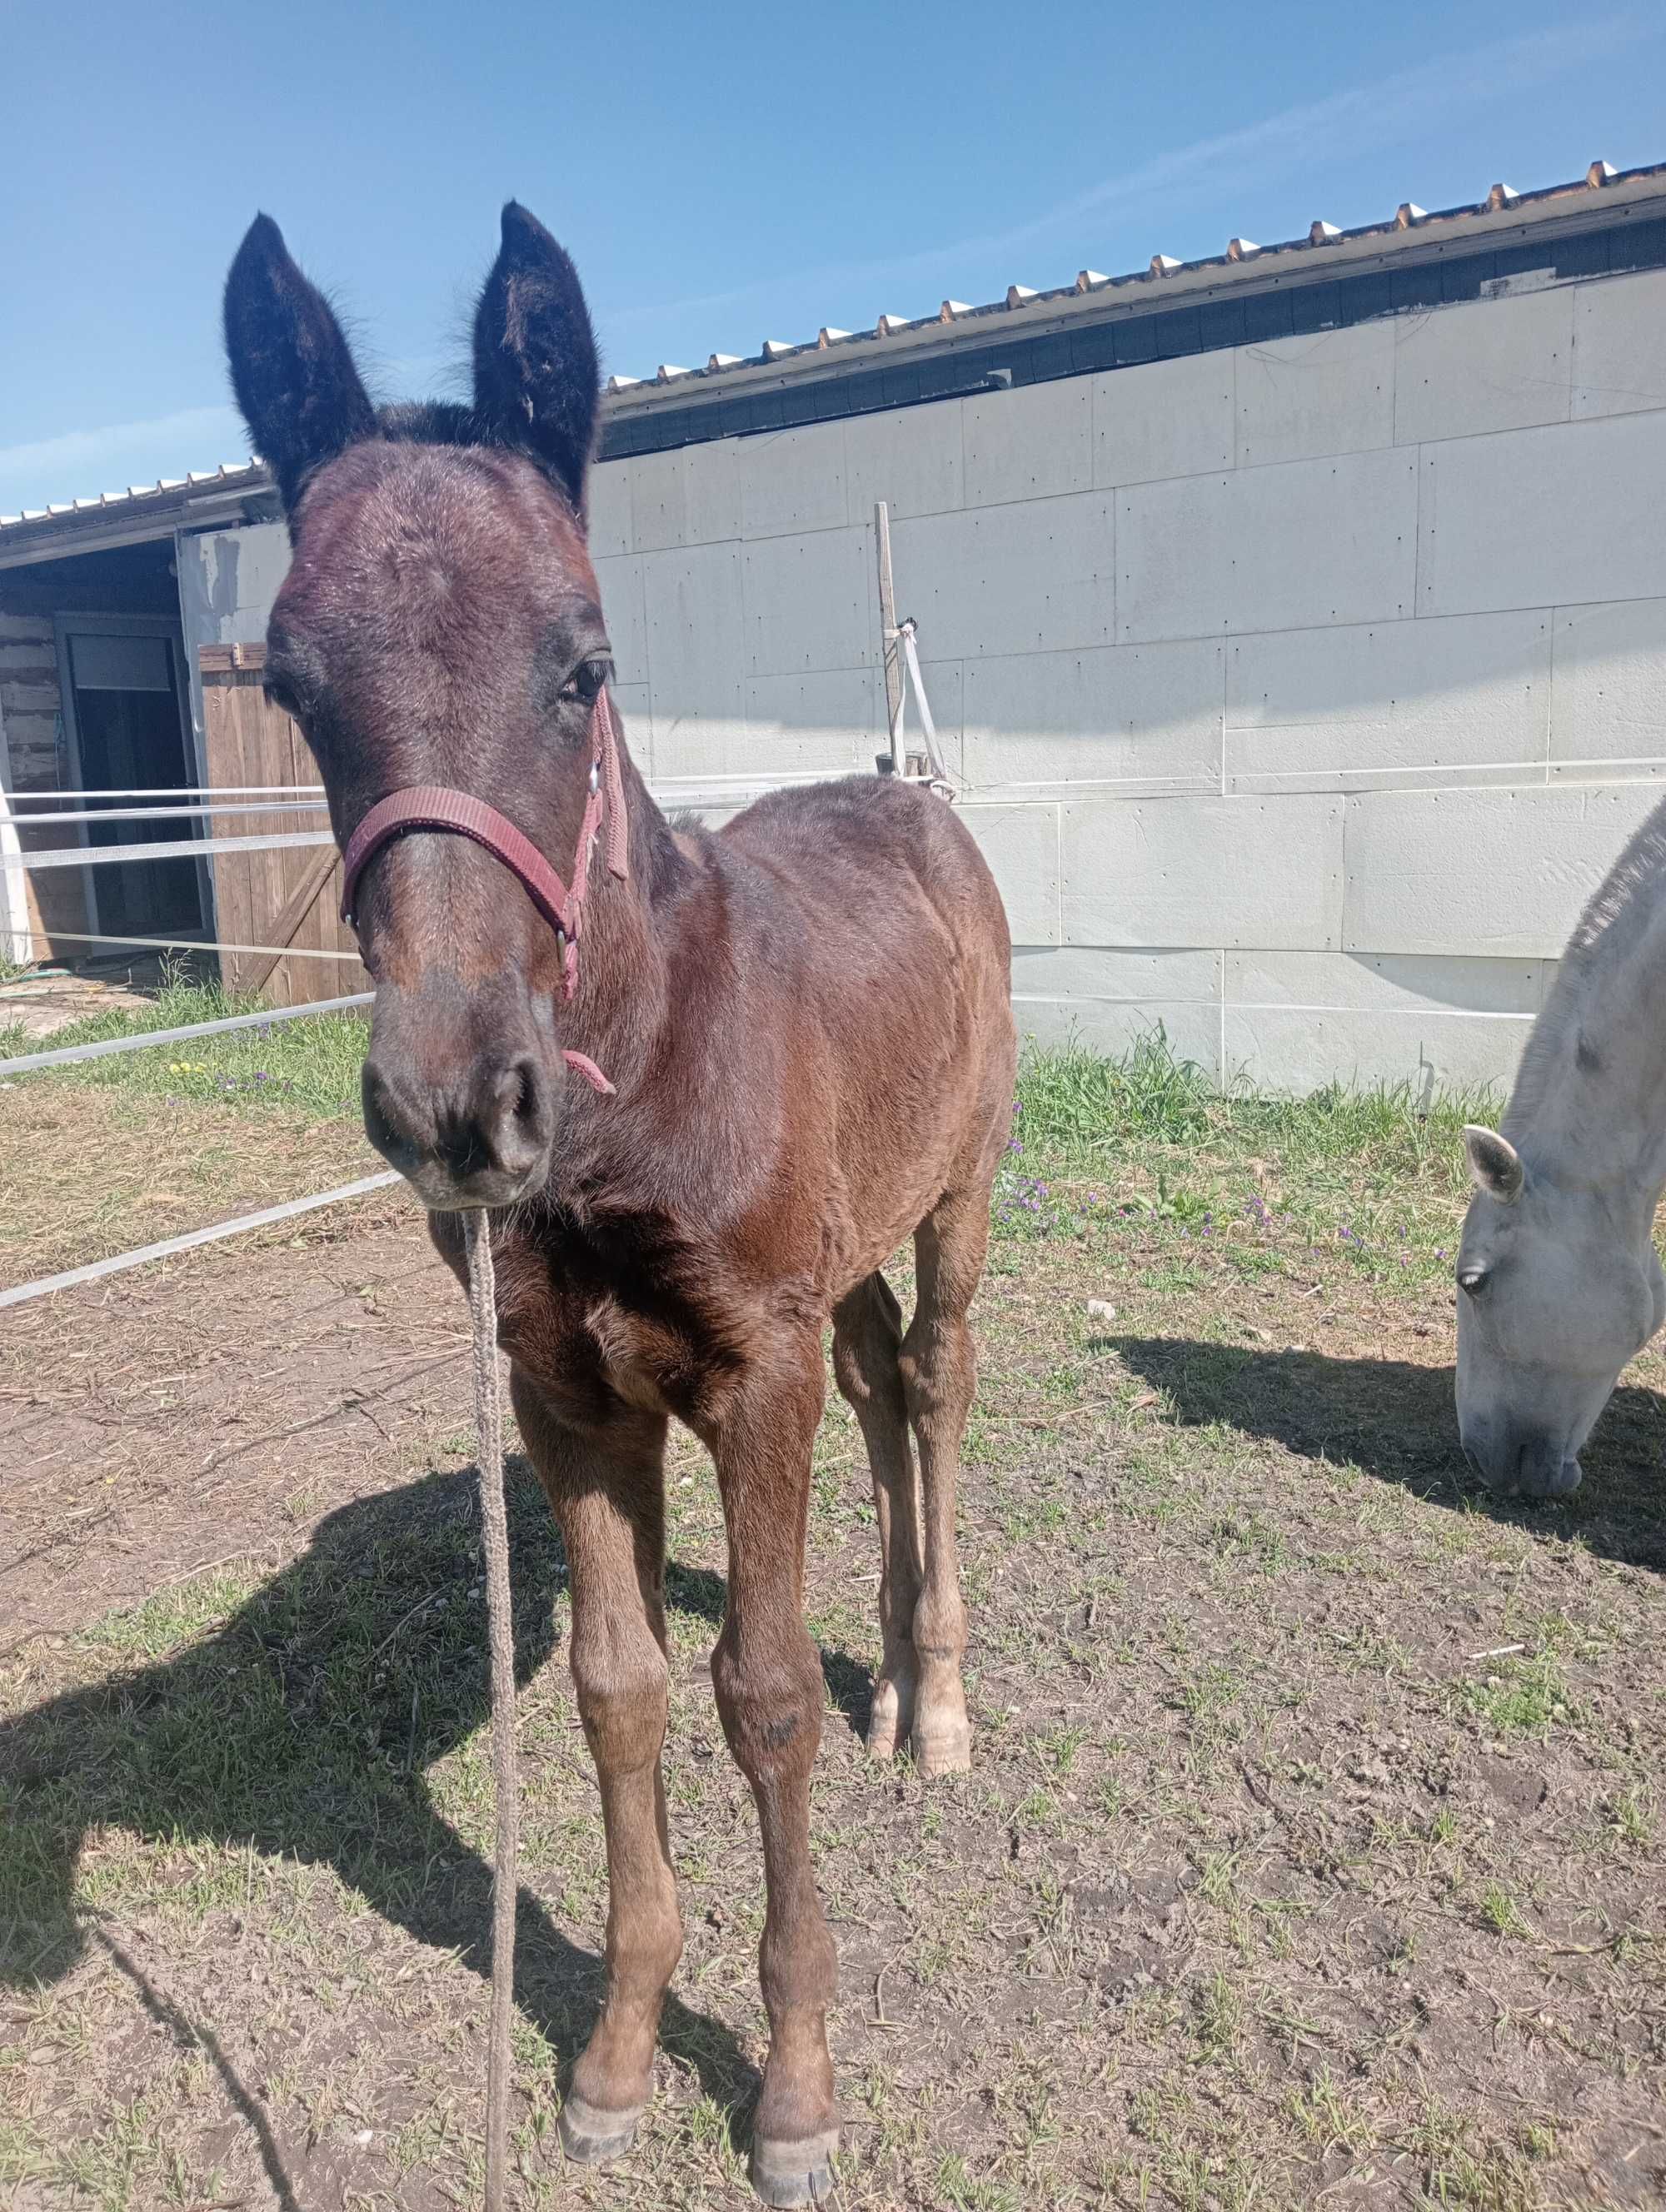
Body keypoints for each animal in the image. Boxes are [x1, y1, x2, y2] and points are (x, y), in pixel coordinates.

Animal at [224, 207, 1013, 2212]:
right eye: (291, 686)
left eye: (584, 664)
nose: (459, 1103)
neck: (634, 1089)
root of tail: (916, 802)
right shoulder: (570, 1396)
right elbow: (617, 1687)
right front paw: (615, 2052)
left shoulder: (750, 1376)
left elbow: (759, 1696)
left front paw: (794, 2083)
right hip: (843, 1260)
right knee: (883, 1384)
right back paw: (896, 1670)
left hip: (956, 1200)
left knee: (938, 1385)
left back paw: (938, 1699)